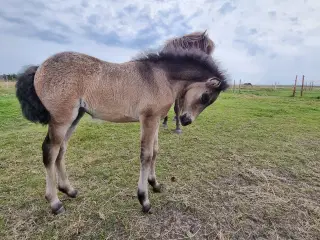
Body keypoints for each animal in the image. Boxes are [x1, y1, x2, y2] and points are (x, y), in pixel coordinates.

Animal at [16, 45, 229, 214]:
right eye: (205, 97)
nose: (185, 121)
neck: (161, 77)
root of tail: (39, 68)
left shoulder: (156, 120)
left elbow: (155, 151)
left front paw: (155, 184)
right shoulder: (148, 119)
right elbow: (146, 155)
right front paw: (144, 200)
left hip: (75, 117)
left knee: (61, 150)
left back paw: (69, 190)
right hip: (61, 120)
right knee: (50, 152)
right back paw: (55, 202)